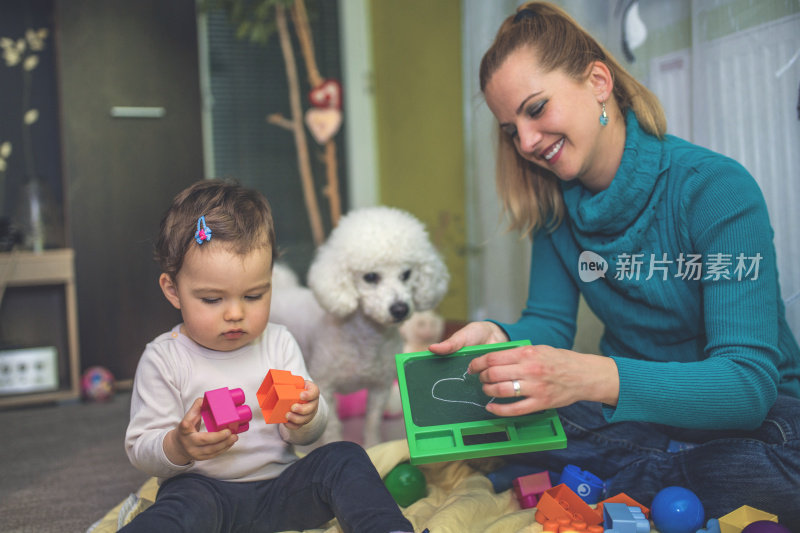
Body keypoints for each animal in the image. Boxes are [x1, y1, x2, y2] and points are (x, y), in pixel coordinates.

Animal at [270, 206, 450, 446]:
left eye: (406, 274)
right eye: (370, 277)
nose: (400, 309)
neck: (367, 339)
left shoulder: (380, 387)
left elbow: (372, 422)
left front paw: (373, 445)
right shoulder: (326, 387)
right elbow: (333, 426)